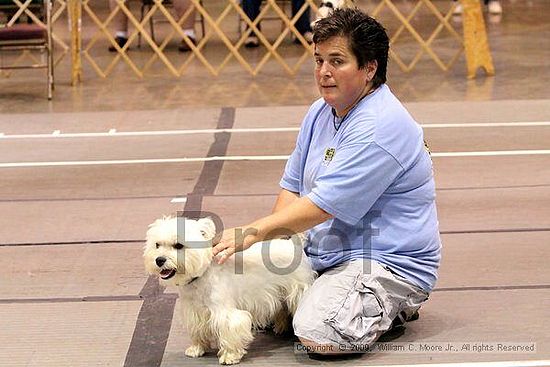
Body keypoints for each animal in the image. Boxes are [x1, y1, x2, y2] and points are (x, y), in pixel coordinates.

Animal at [143, 217, 314, 366]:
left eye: (179, 245)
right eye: (157, 245)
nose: (159, 260)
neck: (200, 276)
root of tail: (295, 245)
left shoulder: (224, 312)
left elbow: (229, 332)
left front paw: (229, 356)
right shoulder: (193, 311)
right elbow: (197, 330)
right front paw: (196, 348)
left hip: (297, 289)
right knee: (281, 308)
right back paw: (280, 326)